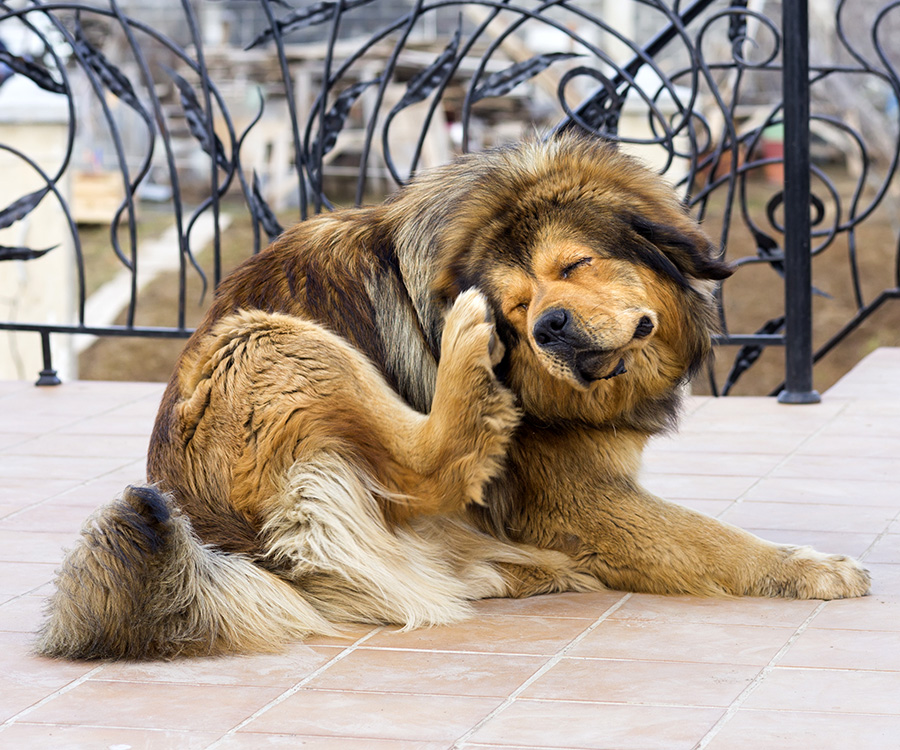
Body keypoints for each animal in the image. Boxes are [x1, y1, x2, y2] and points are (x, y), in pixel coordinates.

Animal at [37, 132, 872, 660]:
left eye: (573, 266)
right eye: (516, 305)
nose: (547, 327)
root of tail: (217, 541)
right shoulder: (577, 499)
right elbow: (713, 540)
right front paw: (811, 569)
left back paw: (519, 567)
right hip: (269, 339)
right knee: (427, 465)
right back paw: (466, 366)